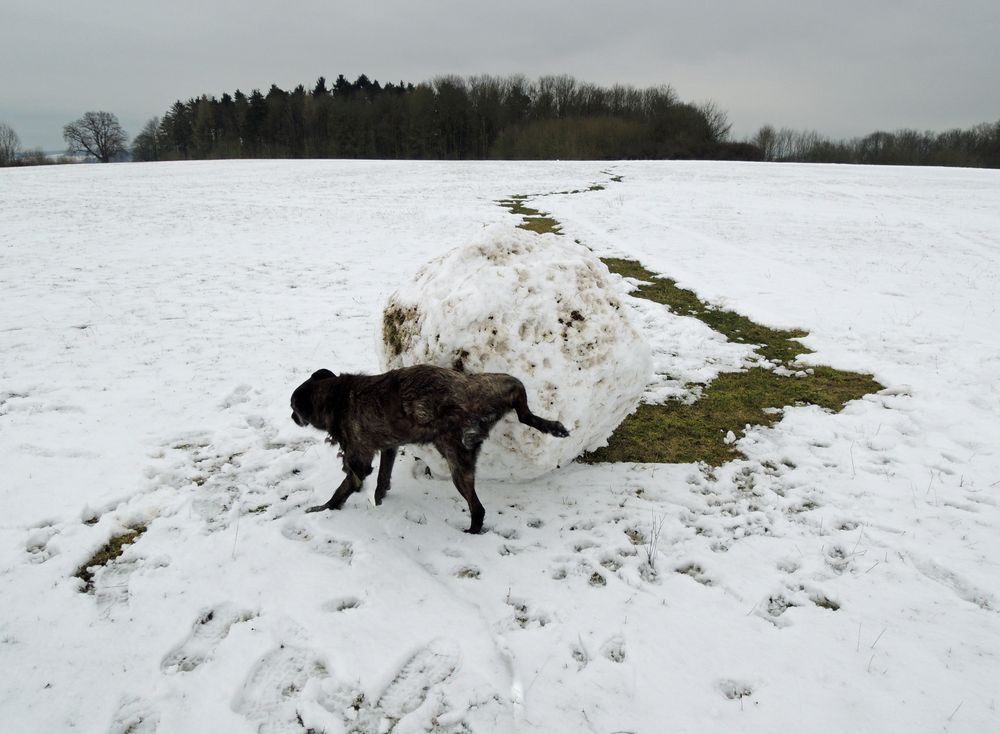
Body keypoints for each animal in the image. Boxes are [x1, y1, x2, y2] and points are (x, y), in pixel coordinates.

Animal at [290, 366, 572, 536]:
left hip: (457, 463)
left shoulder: (359, 459)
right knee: (523, 409)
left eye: (294, 407)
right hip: (497, 382)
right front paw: (379, 499)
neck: (336, 396)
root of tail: (471, 408)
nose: (292, 417)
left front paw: (324, 509)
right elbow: (382, 478)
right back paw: (552, 427)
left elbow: (344, 487)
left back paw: (471, 532)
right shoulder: (389, 448)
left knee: (478, 509)